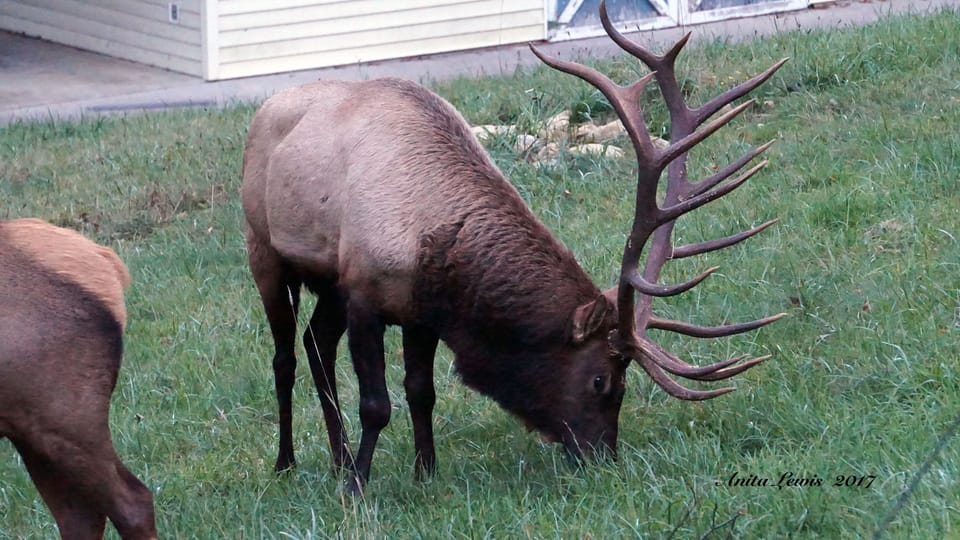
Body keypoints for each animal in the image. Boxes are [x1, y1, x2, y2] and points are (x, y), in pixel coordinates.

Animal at [241, 0, 787, 494]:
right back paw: (288, 463)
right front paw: (359, 487)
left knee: (315, 344)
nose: (603, 456)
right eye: (600, 380)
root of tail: (263, 110)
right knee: (285, 357)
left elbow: (421, 392)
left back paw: (336, 458)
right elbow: (377, 405)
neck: (432, 245)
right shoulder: (364, 293)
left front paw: (425, 474)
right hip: (264, 252)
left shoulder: (420, 311)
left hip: (325, 281)